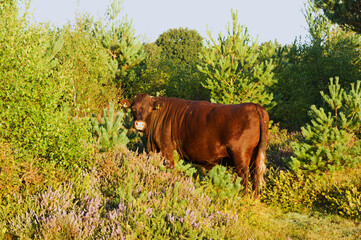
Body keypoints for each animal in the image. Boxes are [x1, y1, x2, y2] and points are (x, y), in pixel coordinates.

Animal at [121, 94, 268, 197]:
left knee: (245, 176)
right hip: (255, 155)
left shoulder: (167, 149)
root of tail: (255, 106)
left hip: (240, 155)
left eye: (149, 108)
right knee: (255, 175)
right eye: (133, 108)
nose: (139, 124)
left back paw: (243, 197)